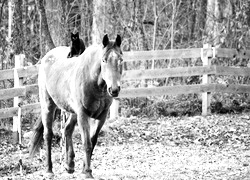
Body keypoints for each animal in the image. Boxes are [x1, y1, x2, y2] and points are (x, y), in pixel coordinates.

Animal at [30, 34, 123, 179]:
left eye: (121, 60)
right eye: (104, 60)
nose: (114, 89)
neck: (94, 82)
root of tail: (46, 57)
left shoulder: (101, 117)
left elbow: (93, 141)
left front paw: (84, 169)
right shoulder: (83, 115)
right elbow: (87, 143)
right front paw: (88, 172)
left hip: (72, 112)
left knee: (67, 129)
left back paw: (69, 165)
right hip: (48, 106)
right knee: (48, 135)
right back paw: (49, 170)